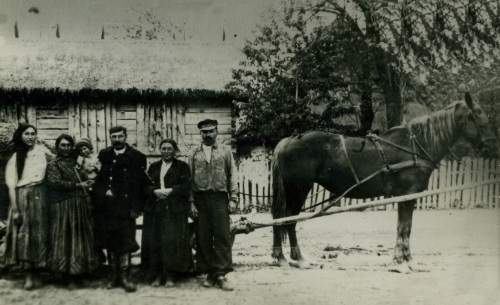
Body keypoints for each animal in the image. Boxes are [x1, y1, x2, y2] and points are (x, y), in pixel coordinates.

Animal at [272, 91, 498, 270]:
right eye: (477, 115)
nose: (492, 146)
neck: (415, 145)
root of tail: (287, 141)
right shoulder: (408, 194)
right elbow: (404, 227)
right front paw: (402, 260)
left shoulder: (406, 196)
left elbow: (405, 226)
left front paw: (404, 259)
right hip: (298, 189)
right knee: (288, 219)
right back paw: (297, 258)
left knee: (280, 218)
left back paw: (280, 256)